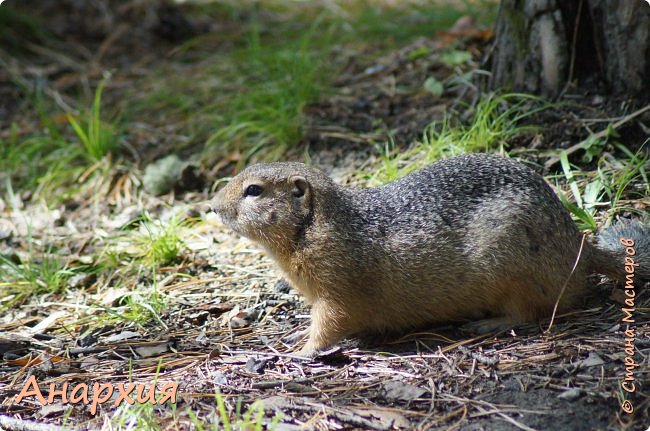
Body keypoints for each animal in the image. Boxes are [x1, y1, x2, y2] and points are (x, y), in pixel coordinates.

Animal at [211, 154, 648, 356]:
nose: (212, 206)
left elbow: (331, 323)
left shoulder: (339, 288)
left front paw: (302, 350)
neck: (316, 226)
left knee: (534, 311)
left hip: (515, 270)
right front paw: (294, 334)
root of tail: (580, 246)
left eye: (253, 190)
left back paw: (489, 323)